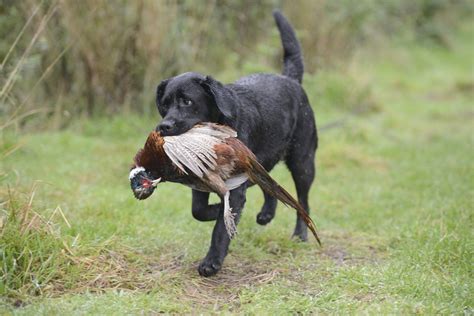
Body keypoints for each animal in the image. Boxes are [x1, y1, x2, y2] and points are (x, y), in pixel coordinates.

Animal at [156, 11, 318, 276]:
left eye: (187, 101)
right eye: (165, 104)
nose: (164, 126)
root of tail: (290, 79)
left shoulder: (234, 188)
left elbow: (220, 229)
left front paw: (212, 262)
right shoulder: (201, 180)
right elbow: (199, 211)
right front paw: (215, 211)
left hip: (303, 162)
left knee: (302, 201)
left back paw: (299, 235)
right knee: (270, 186)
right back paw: (266, 214)